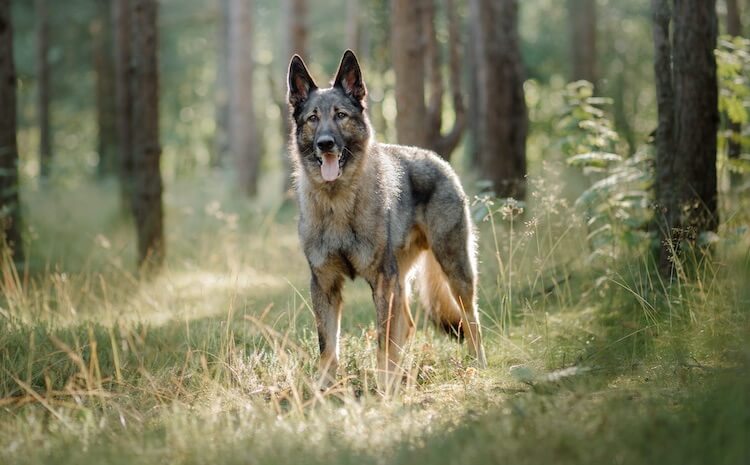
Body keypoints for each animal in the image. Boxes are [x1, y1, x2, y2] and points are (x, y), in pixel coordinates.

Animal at [288, 49, 488, 392]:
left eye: (340, 115)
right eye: (313, 118)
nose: (325, 144)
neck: (338, 203)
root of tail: (438, 159)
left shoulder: (381, 282)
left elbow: (382, 342)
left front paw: (384, 390)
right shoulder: (325, 285)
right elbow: (327, 346)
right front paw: (323, 391)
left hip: (454, 271)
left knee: (470, 320)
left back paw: (479, 366)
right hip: (401, 281)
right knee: (407, 326)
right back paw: (402, 375)